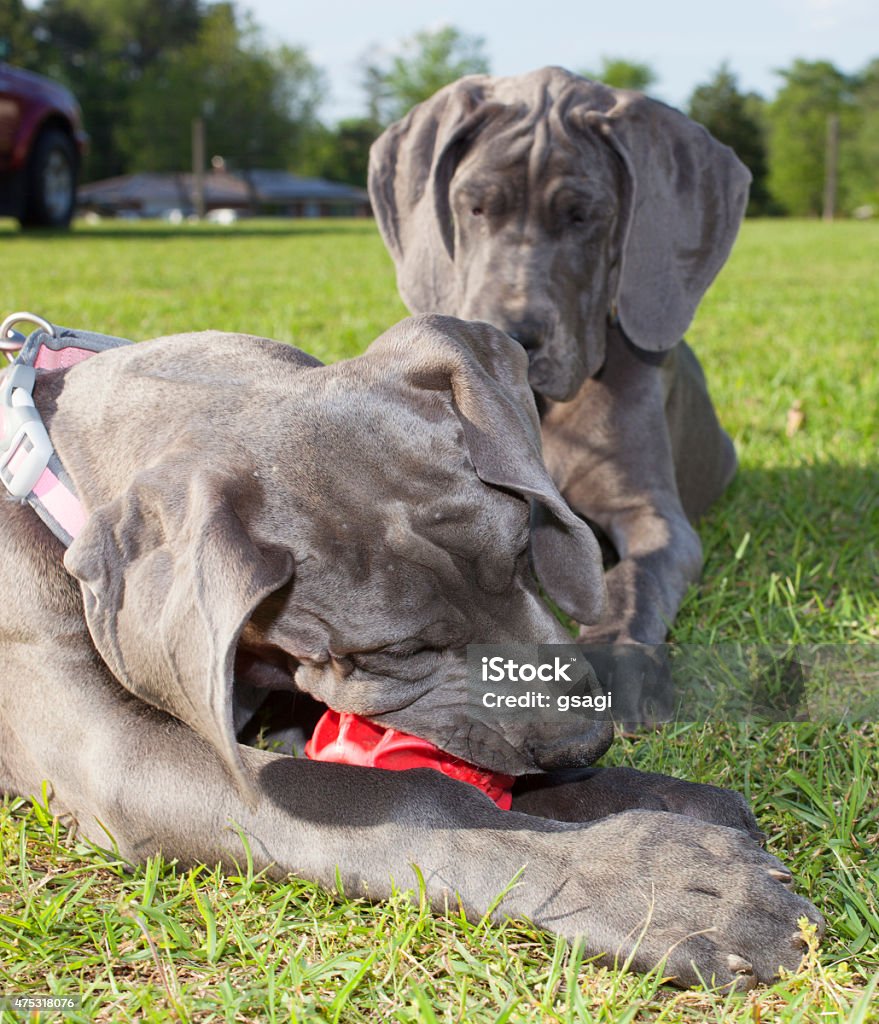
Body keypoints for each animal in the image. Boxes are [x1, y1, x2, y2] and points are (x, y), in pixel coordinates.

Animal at [1, 315, 815, 987]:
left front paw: (647, 793)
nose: (588, 741)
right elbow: (408, 795)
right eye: (399, 649)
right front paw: (661, 888)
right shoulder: (124, 760)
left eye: (523, 551)